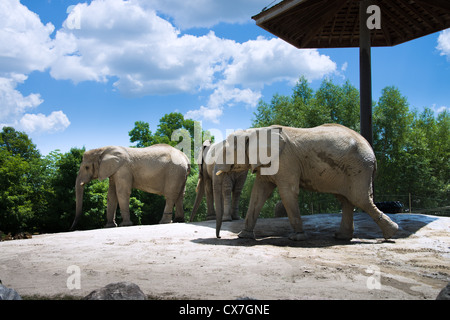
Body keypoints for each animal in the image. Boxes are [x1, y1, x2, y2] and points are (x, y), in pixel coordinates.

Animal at [214, 124, 398, 240]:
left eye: (227, 152)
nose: (219, 235)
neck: (254, 131)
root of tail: (371, 150)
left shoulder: (285, 161)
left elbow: (287, 192)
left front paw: (297, 238)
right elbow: (258, 195)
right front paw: (243, 236)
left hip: (359, 168)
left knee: (360, 199)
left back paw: (391, 234)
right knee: (346, 200)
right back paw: (342, 237)